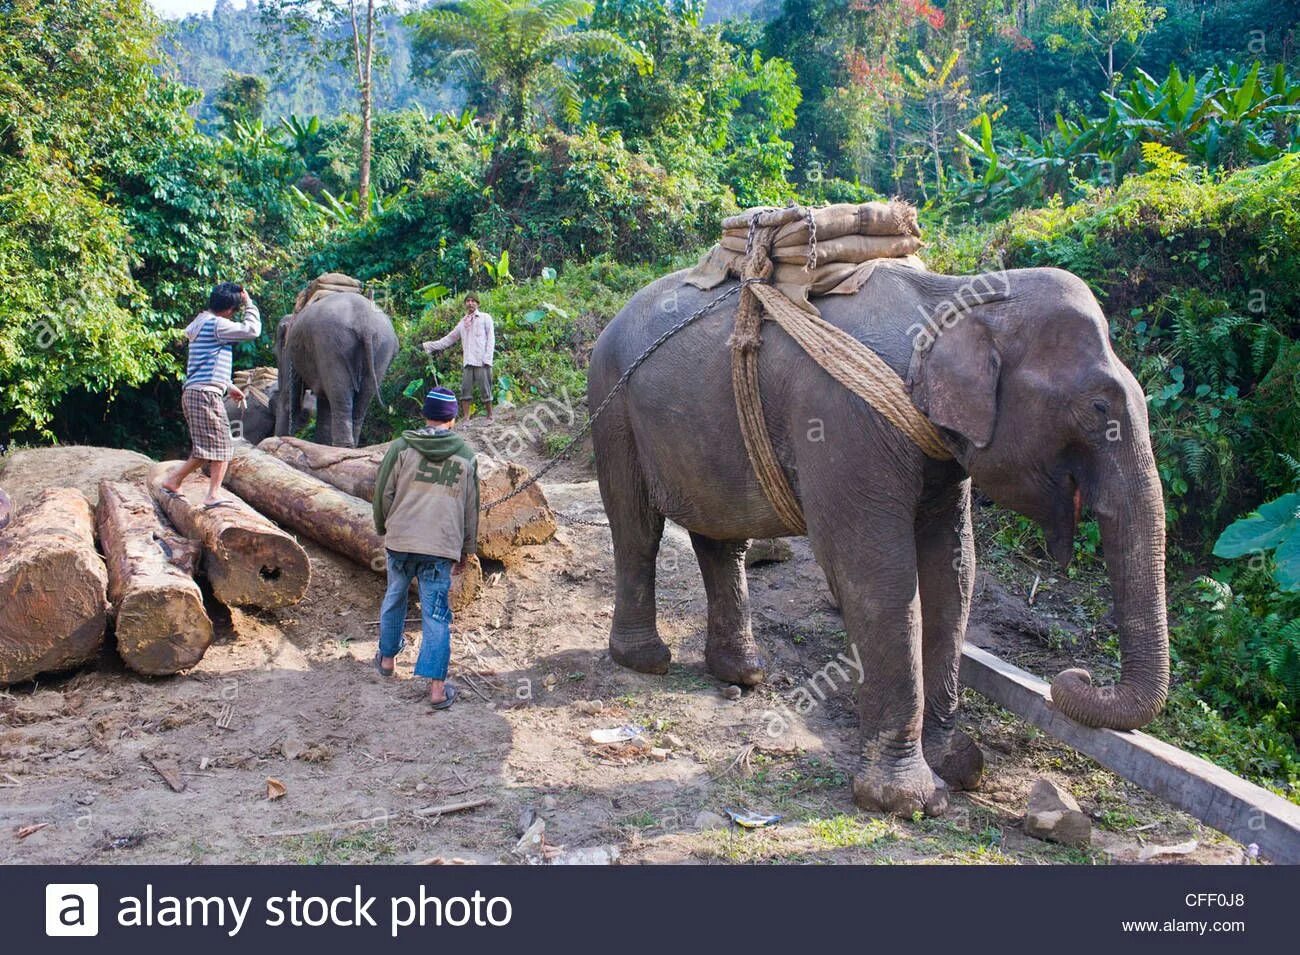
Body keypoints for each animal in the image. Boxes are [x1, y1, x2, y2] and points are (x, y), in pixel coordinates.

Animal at [273, 291, 395, 446]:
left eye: (275, 352)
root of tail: (366, 324)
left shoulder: (290, 351)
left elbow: (289, 398)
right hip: (381, 348)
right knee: (362, 399)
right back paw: (349, 446)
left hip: (332, 345)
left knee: (339, 395)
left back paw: (344, 446)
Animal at [590, 259, 1170, 815]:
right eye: (1098, 407)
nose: (1075, 678)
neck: (955, 295)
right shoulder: (847, 420)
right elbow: (877, 575)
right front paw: (907, 800)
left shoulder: (939, 451)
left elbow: (954, 571)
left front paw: (959, 766)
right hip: (612, 406)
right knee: (637, 527)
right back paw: (647, 661)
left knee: (721, 537)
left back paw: (743, 673)